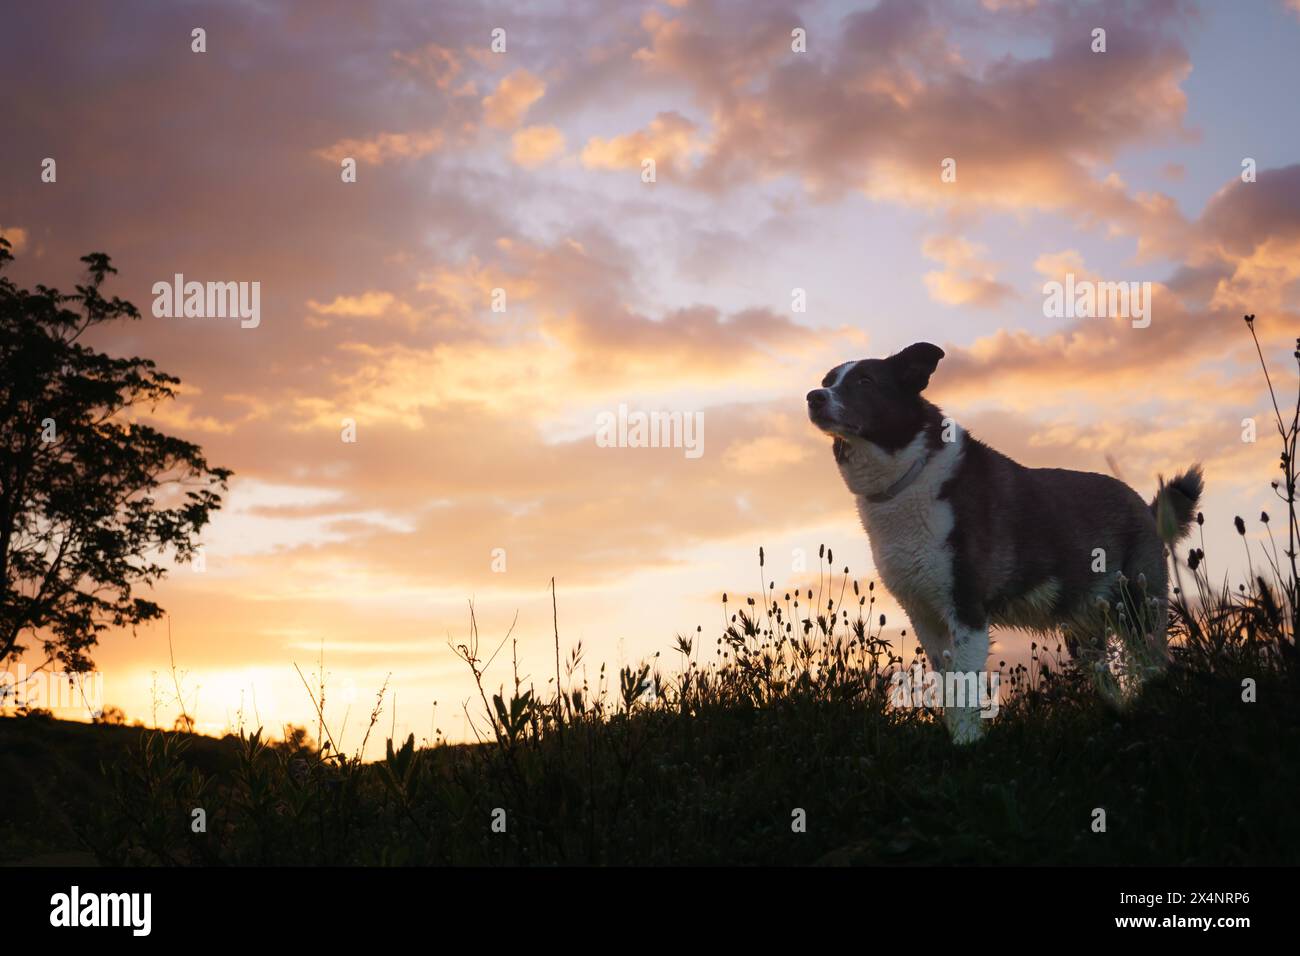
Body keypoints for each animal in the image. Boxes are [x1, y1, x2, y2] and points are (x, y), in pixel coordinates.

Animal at [806, 340, 1201, 743]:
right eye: (828, 381)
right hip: (1085, 627)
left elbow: (964, 688)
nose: (813, 397)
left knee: (1154, 663)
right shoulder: (925, 615)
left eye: (865, 381)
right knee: (1107, 675)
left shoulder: (966, 608)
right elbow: (948, 687)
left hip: (1138, 608)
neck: (909, 475)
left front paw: (967, 744)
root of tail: (1145, 506)